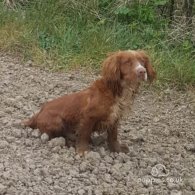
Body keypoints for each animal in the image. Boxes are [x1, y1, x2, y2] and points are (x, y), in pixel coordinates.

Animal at [23, 50, 156, 155]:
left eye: (142, 61)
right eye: (127, 62)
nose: (142, 71)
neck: (116, 92)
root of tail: (38, 113)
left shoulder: (115, 118)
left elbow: (113, 136)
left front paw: (117, 149)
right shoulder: (88, 117)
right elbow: (84, 135)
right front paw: (82, 151)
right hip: (57, 122)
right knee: (53, 135)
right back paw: (69, 142)